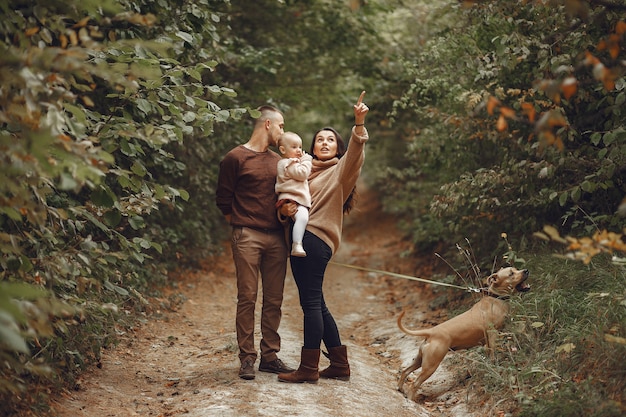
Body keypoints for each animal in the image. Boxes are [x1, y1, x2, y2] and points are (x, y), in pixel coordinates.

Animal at [394, 264, 528, 398]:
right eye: (511, 274)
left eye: (515, 269)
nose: (526, 270)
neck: (496, 298)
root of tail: (431, 331)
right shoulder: (493, 334)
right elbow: (494, 351)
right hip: (431, 365)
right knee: (415, 384)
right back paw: (411, 398)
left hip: (420, 360)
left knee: (405, 371)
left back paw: (400, 388)